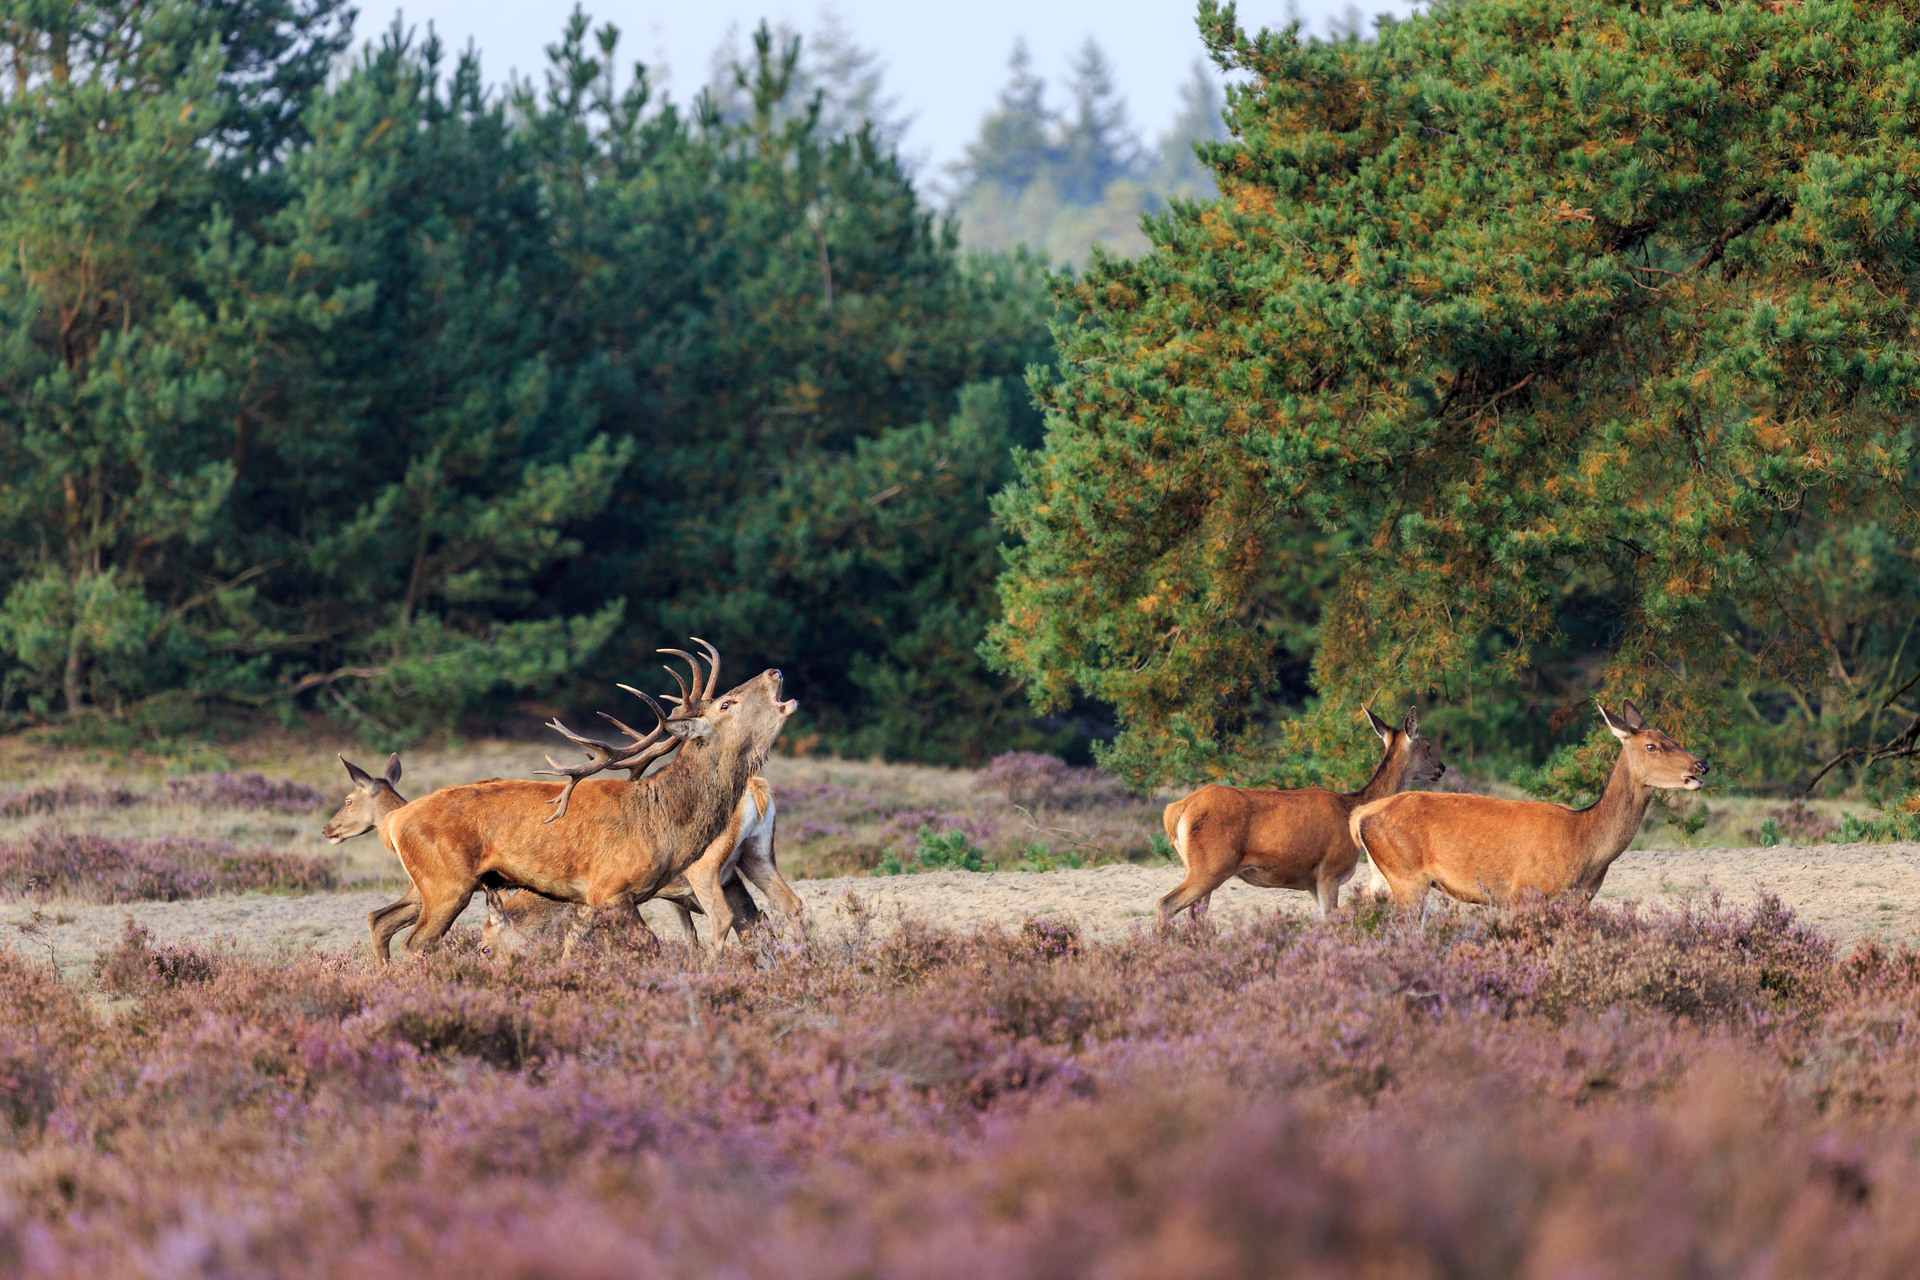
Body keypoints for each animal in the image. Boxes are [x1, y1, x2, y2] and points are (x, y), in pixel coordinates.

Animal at [1152, 710, 1443, 932]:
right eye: (1428, 746)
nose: (1442, 767)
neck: (1352, 808)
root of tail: (1175, 811)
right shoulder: (1330, 871)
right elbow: (1332, 920)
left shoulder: (1312, 883)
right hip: (1211, 865)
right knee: (1166, 903)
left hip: (1199, 866)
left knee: (1196, 916)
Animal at [1351, 702, 1712, 909]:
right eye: (1651, 745)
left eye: (1671, 737)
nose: (1702, 764)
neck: (1586, 844)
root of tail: (1360, 816)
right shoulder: (1525, 892)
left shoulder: (1580, 901)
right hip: (1407, 876)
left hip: (1384, 876)